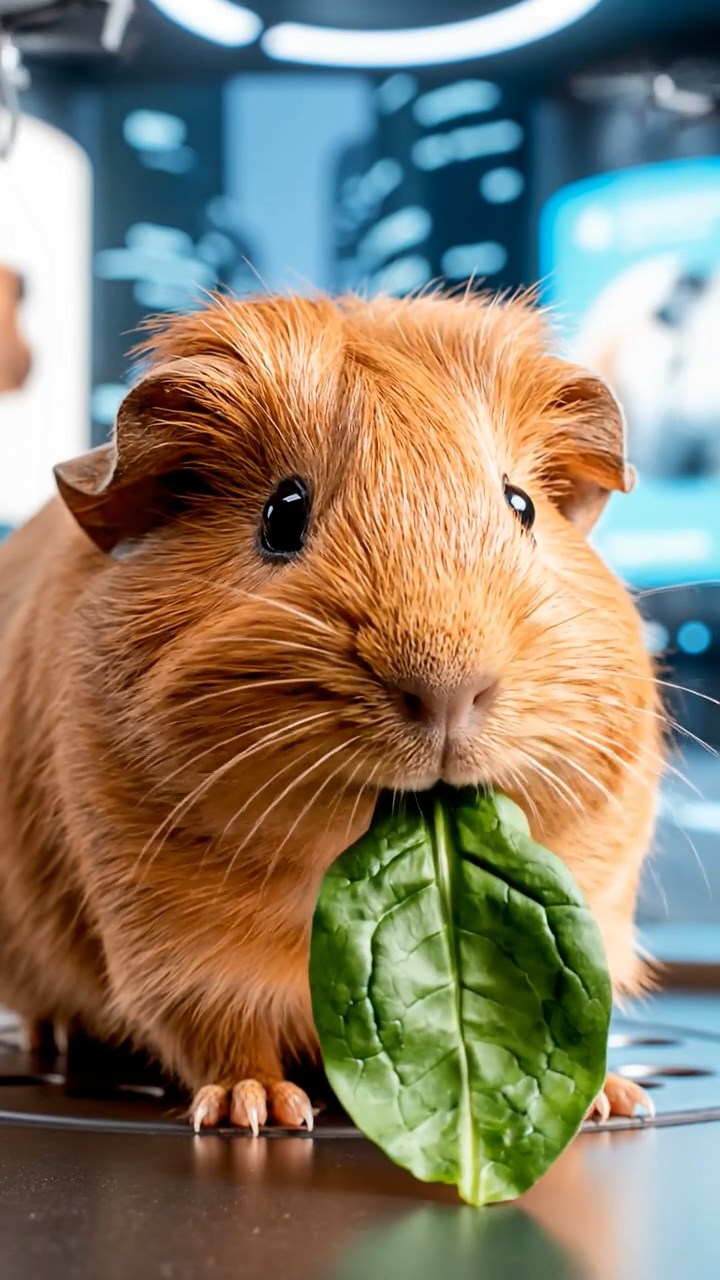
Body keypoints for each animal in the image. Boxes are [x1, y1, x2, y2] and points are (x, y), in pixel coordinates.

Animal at [0, 291, 663, 1132]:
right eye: (280, 516)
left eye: (521, 507)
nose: (450, 688)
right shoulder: (169, 946)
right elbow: (218, 1032)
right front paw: (260, 1112)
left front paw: (614, 1103)